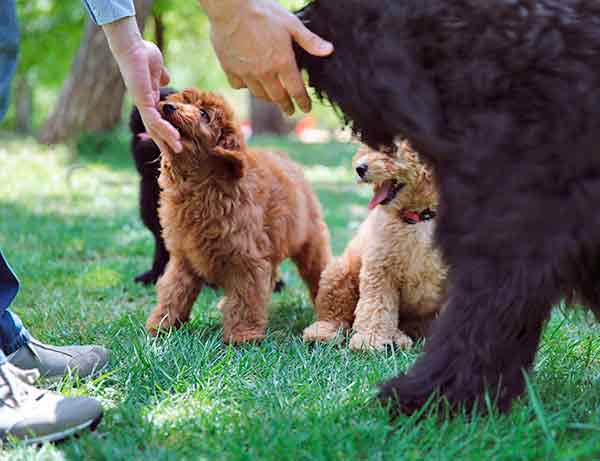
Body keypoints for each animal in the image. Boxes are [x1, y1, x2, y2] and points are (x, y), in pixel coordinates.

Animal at [146, 88, 332, 344]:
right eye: (179, 101)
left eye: (205, 114)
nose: (168, 107)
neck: (199, 187)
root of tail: (285, 159)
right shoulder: (183, 257)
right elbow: (174, 290)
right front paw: (162, 325)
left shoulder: (246, 259)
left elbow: (245, 297)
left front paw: (243, 335)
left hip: (310, 242)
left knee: (316, 271)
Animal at [302, 142, 448, 350]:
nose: (359, 168)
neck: (418, 218)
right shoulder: (380, 269)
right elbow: (376, 306)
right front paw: (369, 341)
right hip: (339, 272)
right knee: (334, 313)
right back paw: (322, 332)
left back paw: (399, 337)